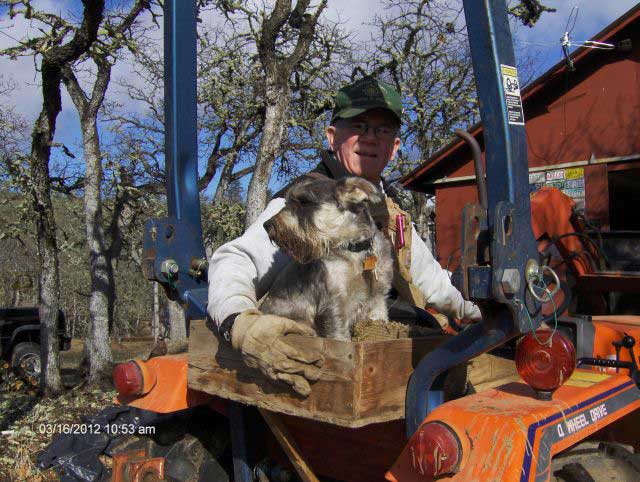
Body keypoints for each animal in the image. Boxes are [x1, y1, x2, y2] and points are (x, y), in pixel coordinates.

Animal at [262, 176, 396, 338]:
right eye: (286, 203)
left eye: (304, 201)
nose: (266, 225)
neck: (354, 251)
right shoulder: (335, 303)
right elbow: (340, 337)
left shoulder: (378, 297)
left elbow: (378, 319)